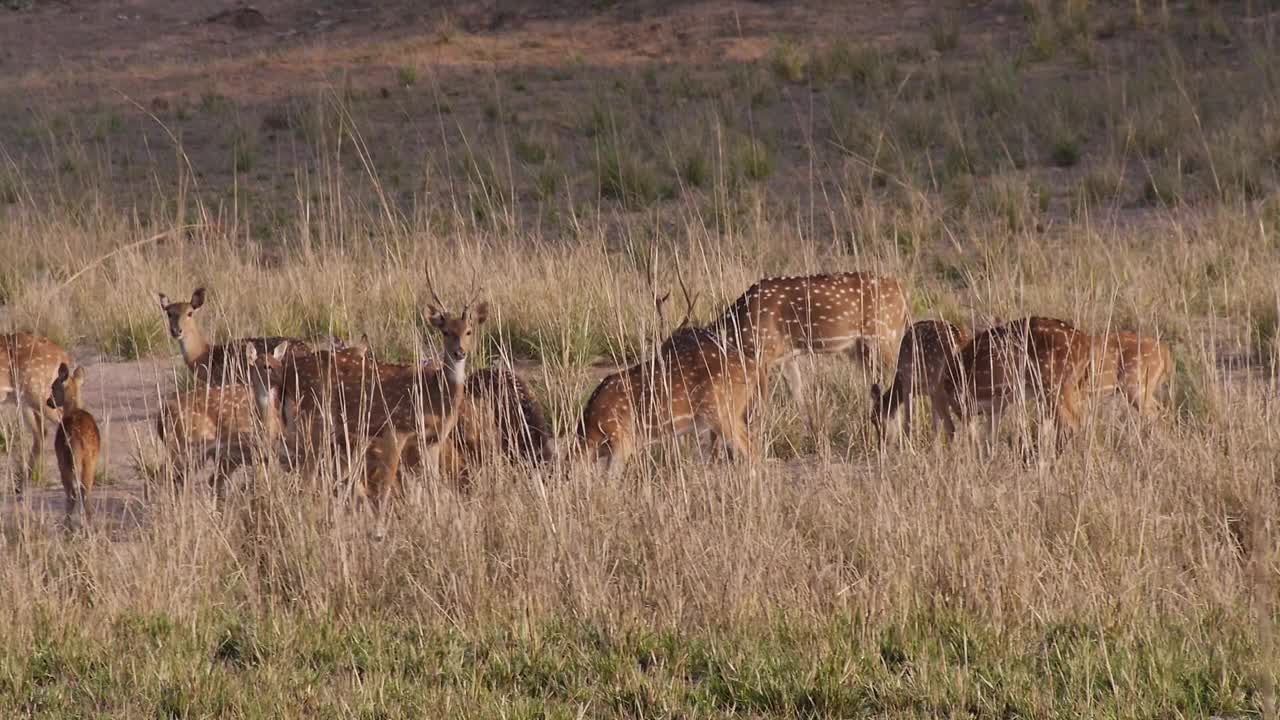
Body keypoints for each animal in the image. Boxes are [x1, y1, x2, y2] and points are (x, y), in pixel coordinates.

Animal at [46, 361, 99, 525]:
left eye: (53, 386)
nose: (48, 401)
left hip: (66, 461)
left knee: (73, 493)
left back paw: (68, 524)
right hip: (89, 460)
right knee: (85, 491)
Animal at [711, 271, 911, 435]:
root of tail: (902, 293)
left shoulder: (762, 354)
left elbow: (756, 408)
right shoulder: (786, 356)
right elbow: (797, 391)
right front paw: (813, 433)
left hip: (883, 335)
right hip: (862, 348)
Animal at [870, 317, 967, 445]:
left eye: (874, 419)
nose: (881, 444)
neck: (898, 381)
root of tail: (958, 339)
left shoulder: (908, 386)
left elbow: (908, 423)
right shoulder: (929, 393)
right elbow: (935, 426)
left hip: (939, 384)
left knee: (952, 426)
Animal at [936, 315, 1095, 458]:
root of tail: (1086, 342)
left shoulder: (964, 404)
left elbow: (973, 442)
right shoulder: (995, 407)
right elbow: (988, 442)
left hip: (1054, 385)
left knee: (1072, 424)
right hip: (1067, 388)